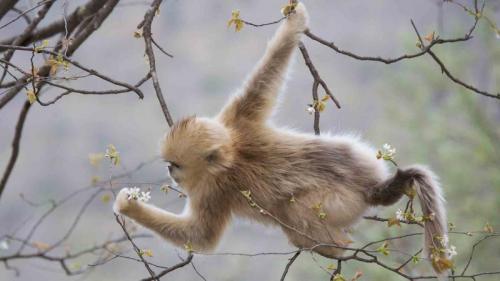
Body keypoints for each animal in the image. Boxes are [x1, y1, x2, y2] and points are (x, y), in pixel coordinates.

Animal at [114, 2, 450, 274]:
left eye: (177, 165)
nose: (169, 172)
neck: (232, 150)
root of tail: (370, 187)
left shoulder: (214, 190)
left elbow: (200, 236)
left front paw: (129, 207)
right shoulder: (238, 118)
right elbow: (268, 73)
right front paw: (295, 19)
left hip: (336, 203)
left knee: (293, 210)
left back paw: (337, 247)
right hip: (361, 154)